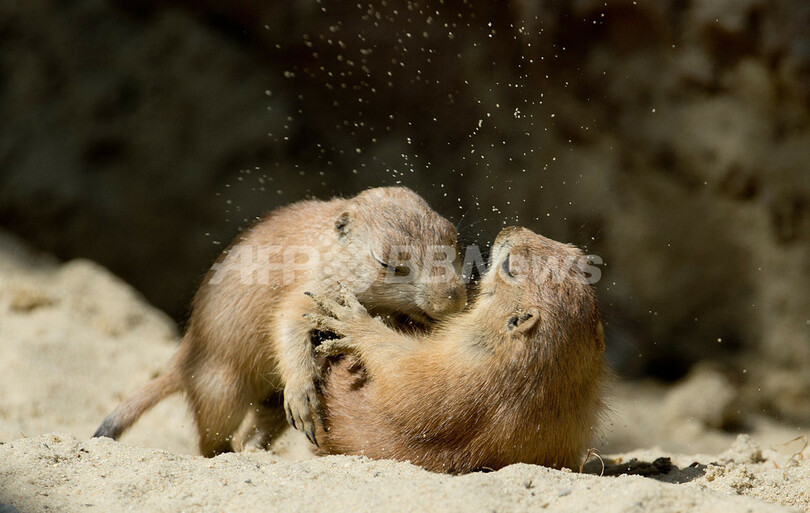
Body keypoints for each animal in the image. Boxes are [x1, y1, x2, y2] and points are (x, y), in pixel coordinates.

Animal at [94, 187, 467, 457]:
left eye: (454, 238)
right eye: (388, 262)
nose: (453, 300)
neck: (327, 246)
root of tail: (182, 361)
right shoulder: (307, 291)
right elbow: (288, 324)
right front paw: (302, 394)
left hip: (267, 403)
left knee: (253, 431)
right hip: (223, 389)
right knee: (210, 441)